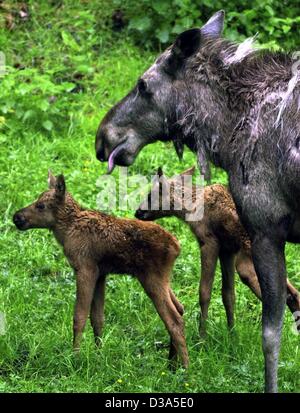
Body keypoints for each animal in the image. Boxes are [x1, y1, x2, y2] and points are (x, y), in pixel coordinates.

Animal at [13, 171, 190, 366]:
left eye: (41, 205)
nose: (17, 217)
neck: (65, 232)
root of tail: (177, 247)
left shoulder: (85, 268)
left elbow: (79, 316)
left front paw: (75, 358)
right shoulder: (101, 274)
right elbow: (97, 318)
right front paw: (99, 355)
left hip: (152, 278)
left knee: (174, 320)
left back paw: (185, 368)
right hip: (163, 279)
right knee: (180, 308)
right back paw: (171, 363)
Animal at [135, 166, 300, 336]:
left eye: (151, 195)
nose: (137, 212)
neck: (190, 210)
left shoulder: (209, 242)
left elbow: (204, 292)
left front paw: (202, 335)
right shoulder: (227, 250)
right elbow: (228, 294)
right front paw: (232, 332)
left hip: (246, 263)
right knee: (293, 292)